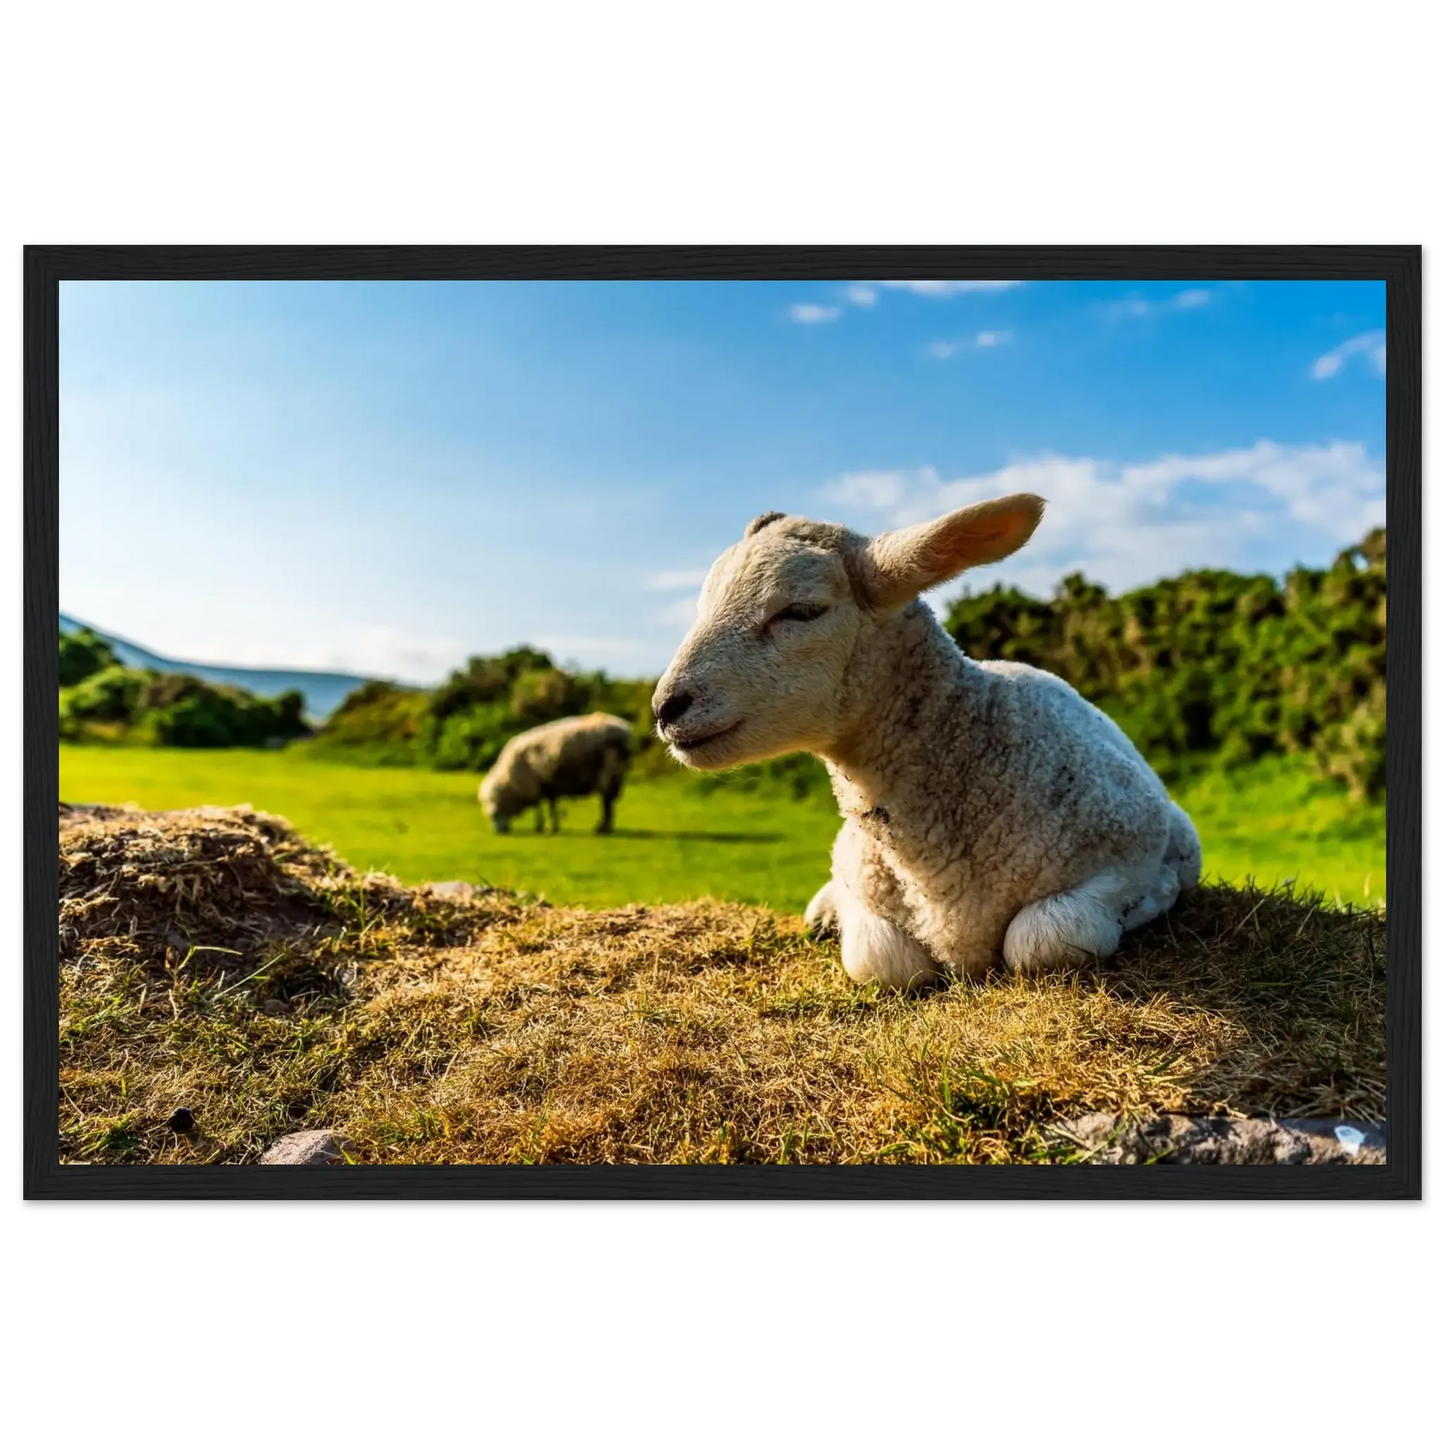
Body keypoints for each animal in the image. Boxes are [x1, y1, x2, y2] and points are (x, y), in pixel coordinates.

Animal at [479, 713, 635, 836]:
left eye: (493, 814)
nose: (499, 832)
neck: (510, 781)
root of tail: (625, 730)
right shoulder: (548, 785)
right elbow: (548, 806)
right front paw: (549, 826)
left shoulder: (537, 784)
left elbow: (542, 807)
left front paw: (543, 827)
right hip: (615, 775)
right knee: (609, 803)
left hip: (609, 772)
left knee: (606, 803)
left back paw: (603, 829)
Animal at [651, 495, 1202, 991]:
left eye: (802, 610)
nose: (665, 707)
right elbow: (881, 961)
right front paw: (839, 917)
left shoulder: (1133, 847)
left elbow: (1043, 939)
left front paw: (1154, 898)